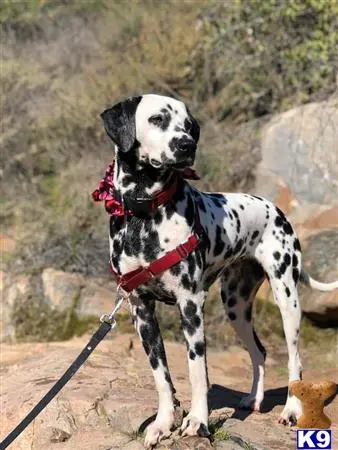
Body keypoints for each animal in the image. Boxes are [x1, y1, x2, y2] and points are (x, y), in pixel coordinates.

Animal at [98, 93, 338, 448]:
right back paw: (253, 399)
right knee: (260, 352)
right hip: (236, 306)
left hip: (287, 300)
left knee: (295, 360)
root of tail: (277, 210)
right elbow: (161, 377)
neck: (144, 214)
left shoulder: (190, 305)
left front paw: (197, 422)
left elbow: (197, 372)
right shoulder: (142, 312)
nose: (187, 145)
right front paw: (163, 423)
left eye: (188, 125)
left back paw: (291, 410)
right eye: (157, 119)